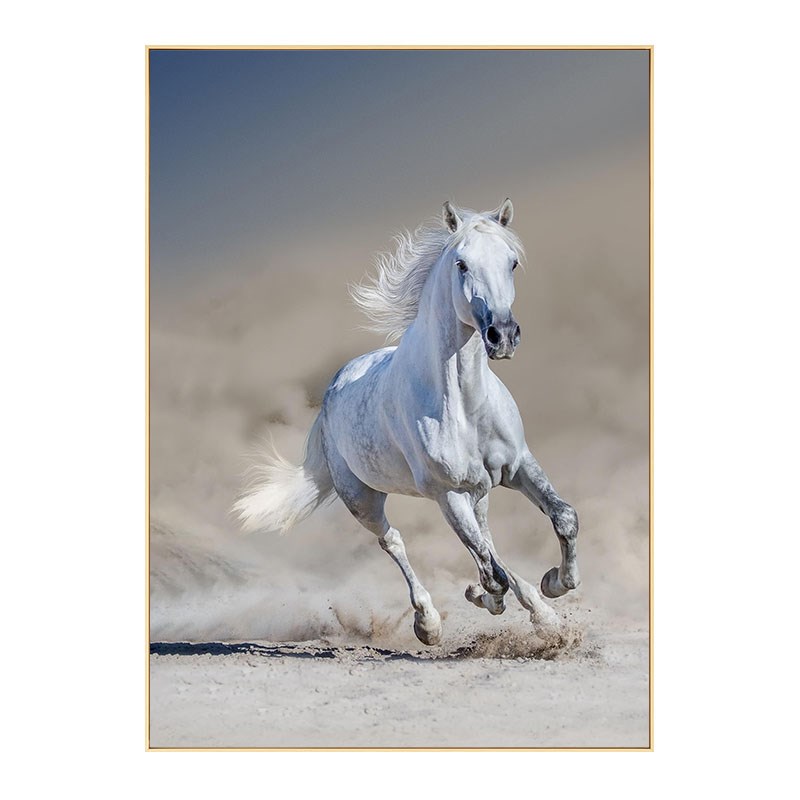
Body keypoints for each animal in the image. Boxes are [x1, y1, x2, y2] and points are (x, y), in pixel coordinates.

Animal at [234, 199, 580, 645]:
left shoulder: (518, 465)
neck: (464, 404)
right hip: (363, 500)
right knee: (394, 542)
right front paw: (485, 598)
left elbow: (562, 518)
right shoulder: (448, 494)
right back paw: (428, 623)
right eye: (462, 264)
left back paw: (541, 614)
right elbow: (491, 573)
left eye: (513, 262)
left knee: (487, 539)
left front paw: (554, 585)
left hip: (479, 492)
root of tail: (331, 392)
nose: (502, 335)